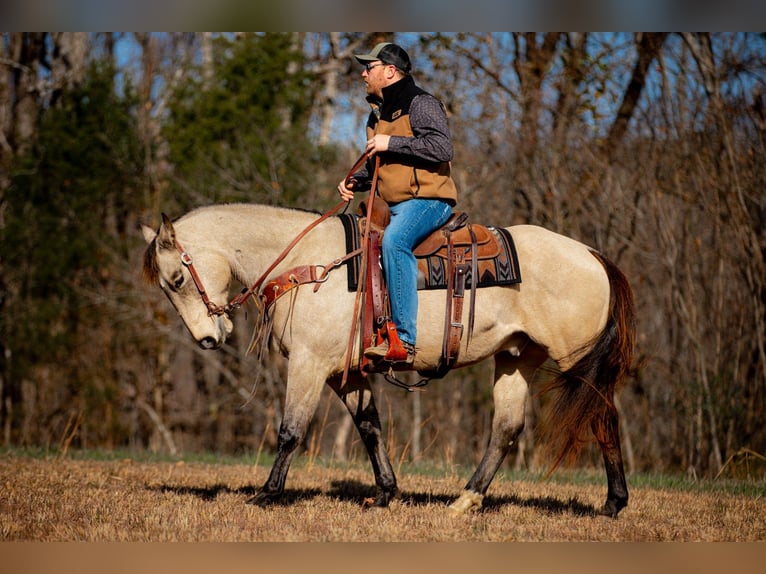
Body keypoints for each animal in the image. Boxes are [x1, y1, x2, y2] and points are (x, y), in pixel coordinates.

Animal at [141, 201, 635, 518]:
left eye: (177, 278)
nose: (208, 338)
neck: (310, 265)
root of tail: (593, 255)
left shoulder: (308, 364)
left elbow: (290, 431)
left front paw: (267, 494)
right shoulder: (346, 375)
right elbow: (369, 428)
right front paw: (385, 493)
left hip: (576, 362)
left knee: (603, 417)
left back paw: (613, 503)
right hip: (517, 357)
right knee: (507, 428)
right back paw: (466, 500)